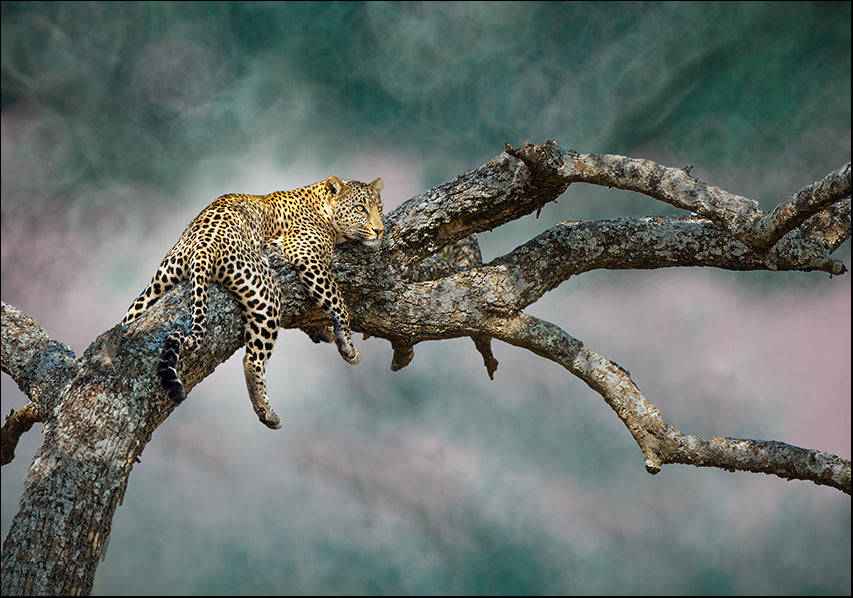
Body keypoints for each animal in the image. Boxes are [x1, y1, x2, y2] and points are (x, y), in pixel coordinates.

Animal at [121, 176, 385, 430]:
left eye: (379, 209)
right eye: (360, 208)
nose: (380, 230)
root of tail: (203, 244)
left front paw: (326, 331)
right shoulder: (307, 255)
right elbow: (337, 300)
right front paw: (347, 345)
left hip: (158, 285)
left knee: (128, 319)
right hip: (267, 292)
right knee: (252, 359)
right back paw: (267, 412)